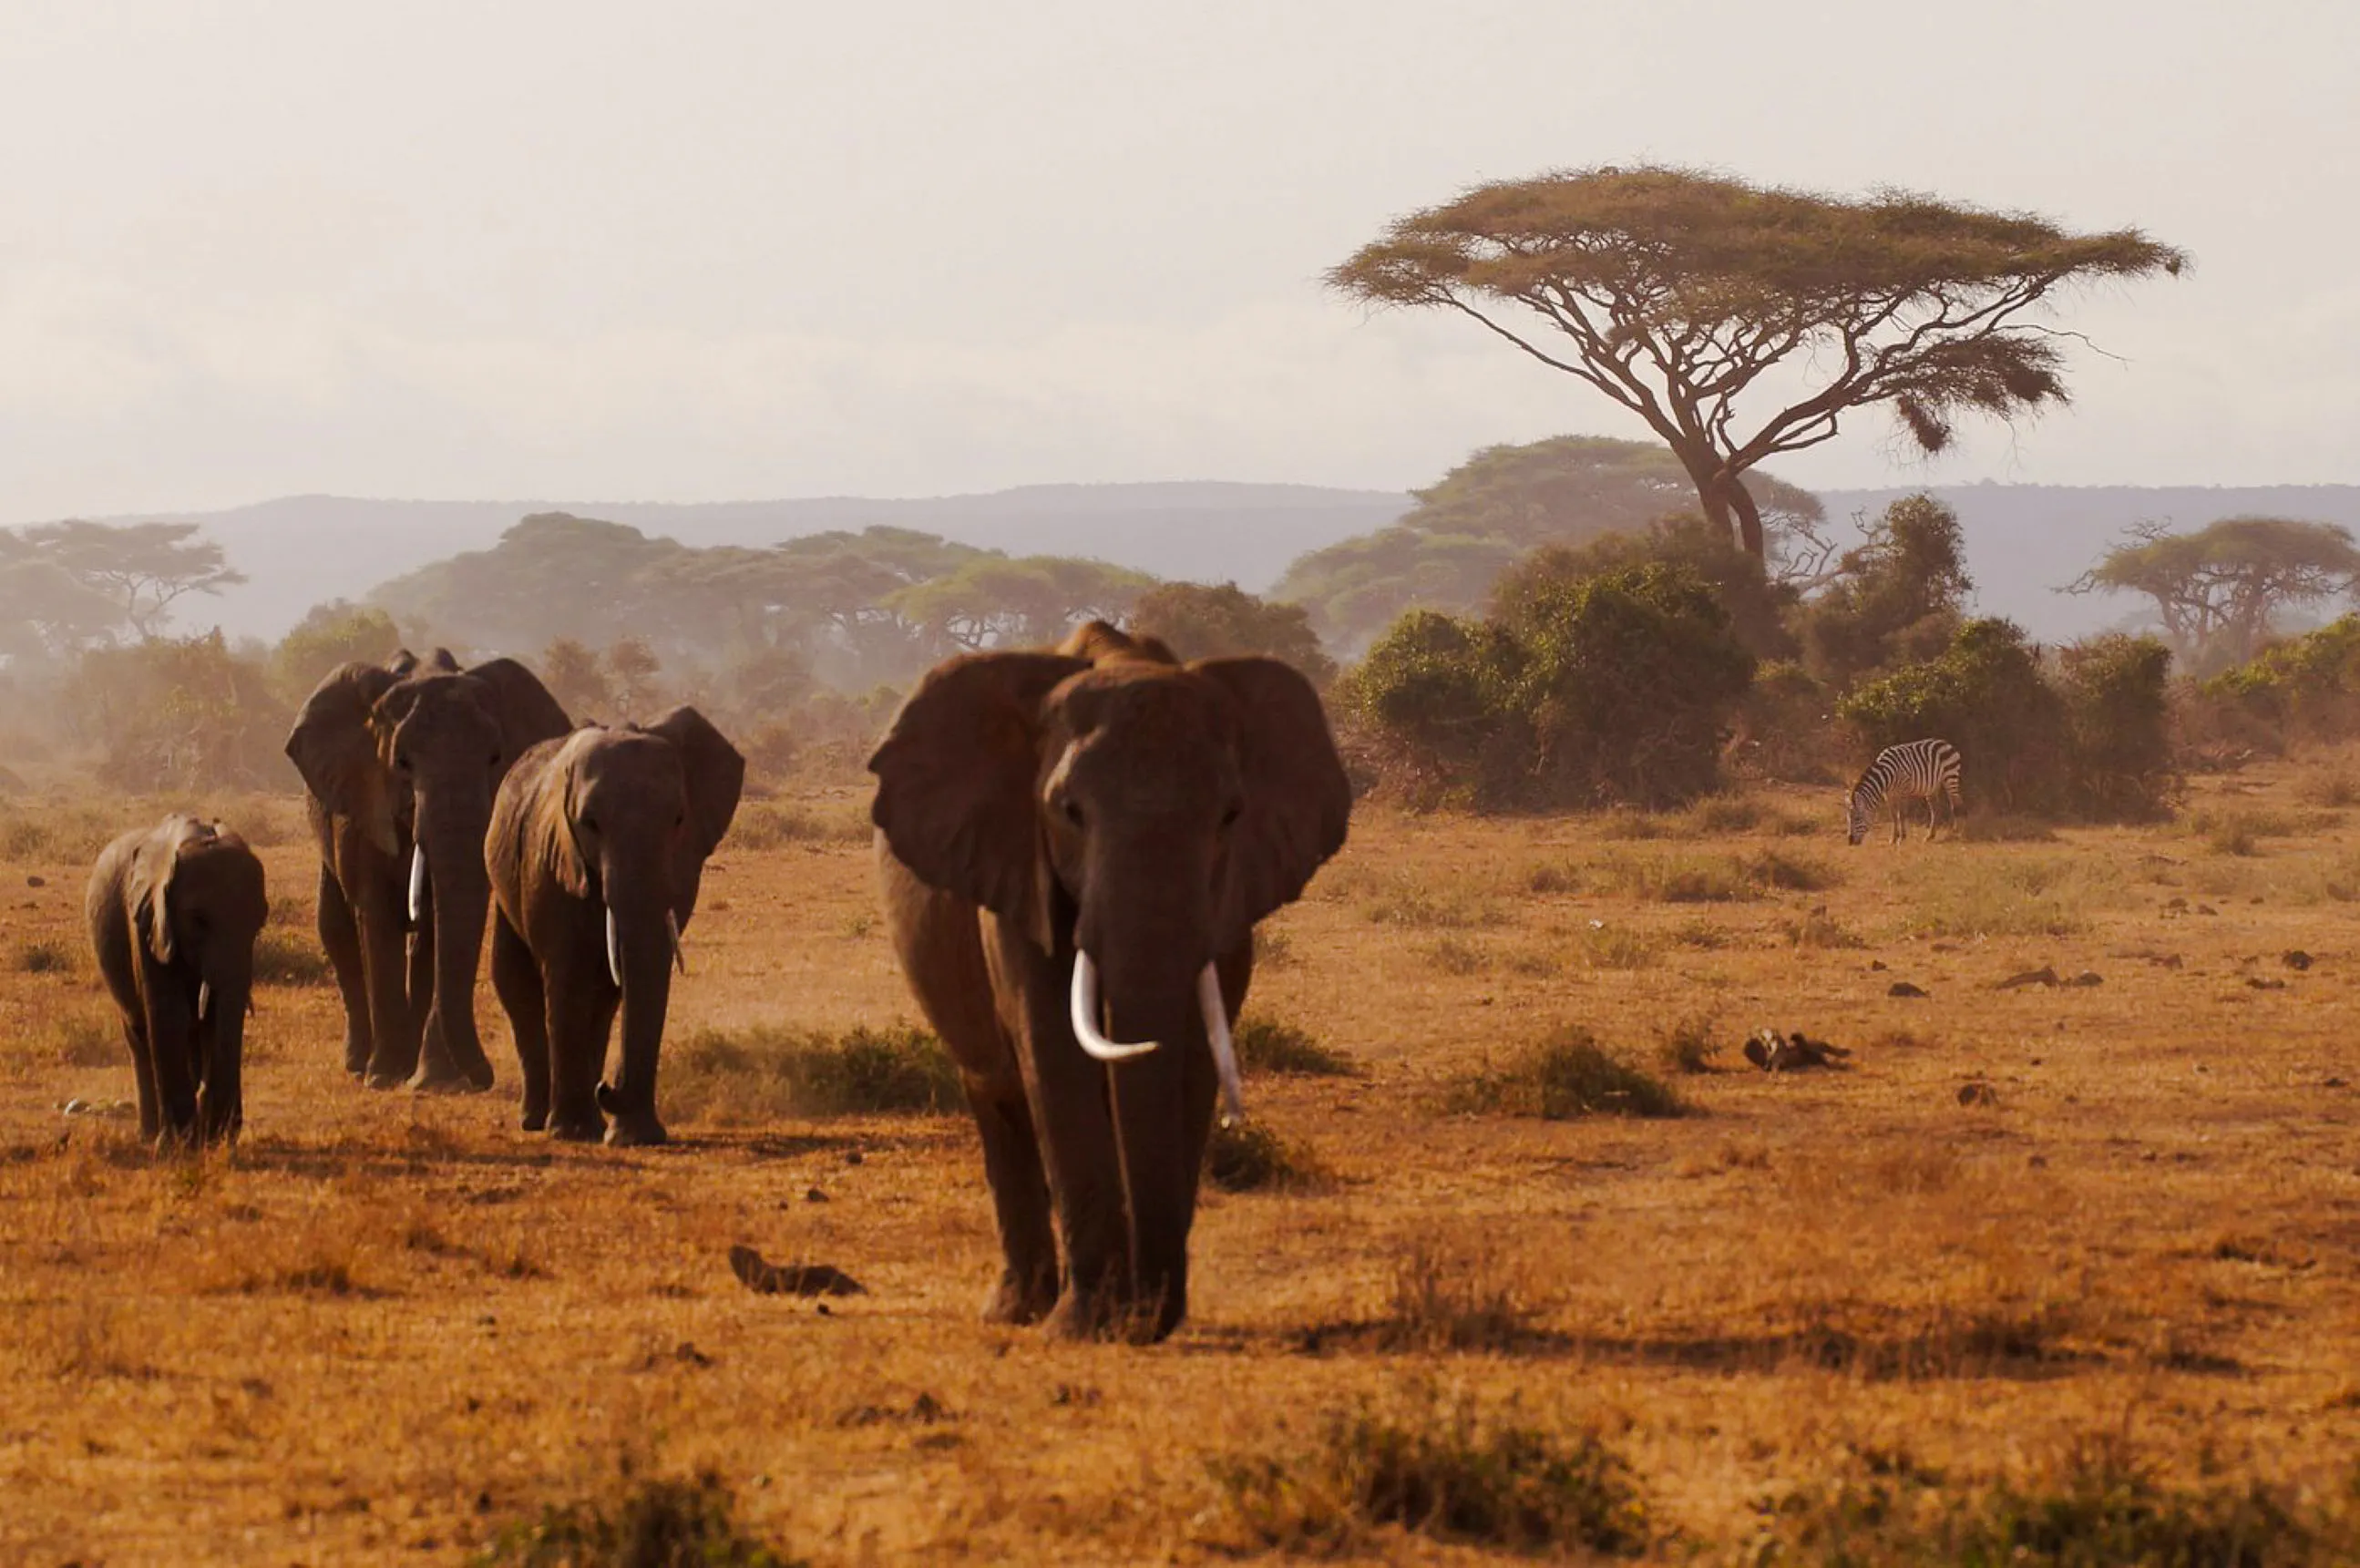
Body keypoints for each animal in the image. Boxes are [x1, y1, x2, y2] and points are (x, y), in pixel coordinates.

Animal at [86, 816, 269, 1147]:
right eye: (198, 920)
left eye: (260, 921)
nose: (224, 1132)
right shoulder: (146, 920)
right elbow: (170, 1014)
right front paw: (180, 1144)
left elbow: (216, 1018)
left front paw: (209, 1138)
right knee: (139, 1035)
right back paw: (150, 1136)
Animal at [285, 648, 571, 1092]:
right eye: (402, 762)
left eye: (495, 757)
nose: (485, 1077)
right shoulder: (362, 800)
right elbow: (375, 917)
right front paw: (383, 1078)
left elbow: (444, 927)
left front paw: (434, 1082)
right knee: (334, 927)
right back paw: (361, 1064)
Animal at [485, 707, 745, 1146]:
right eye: (590, 823)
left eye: (678, 819)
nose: (607, 1087)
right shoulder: (551, 859)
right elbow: (567, 973)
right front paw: (573, 1133)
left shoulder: (681, 865)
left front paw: (632, 1136)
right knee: (515, 979)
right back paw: (538, 1120)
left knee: (604, 997)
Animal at [869, 621, 1351, 1341]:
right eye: (1070, 812)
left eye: (1230, 815)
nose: (1144, 1319)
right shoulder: (1018, 874)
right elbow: (1051, 1052)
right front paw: (1082, 1326)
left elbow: (1191, 1058)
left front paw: (1141, 1319)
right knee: (999, 1101)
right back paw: (1016, 1310)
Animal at [1845, 739, 1962, 844]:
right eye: (1848, 819)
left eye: (1857, 819)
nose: (1850, 841)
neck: (1887, 774)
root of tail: (1946, 743)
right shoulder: (1888, 794)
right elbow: (1893, 815)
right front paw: (1893, 838)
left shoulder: (1903, 791)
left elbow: (1901, 815)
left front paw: (1901, 838)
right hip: (1932, 787)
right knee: (1935, 809)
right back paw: (1930, 836)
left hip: (1950, 778)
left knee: (1955, 804)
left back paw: (1956, 831)